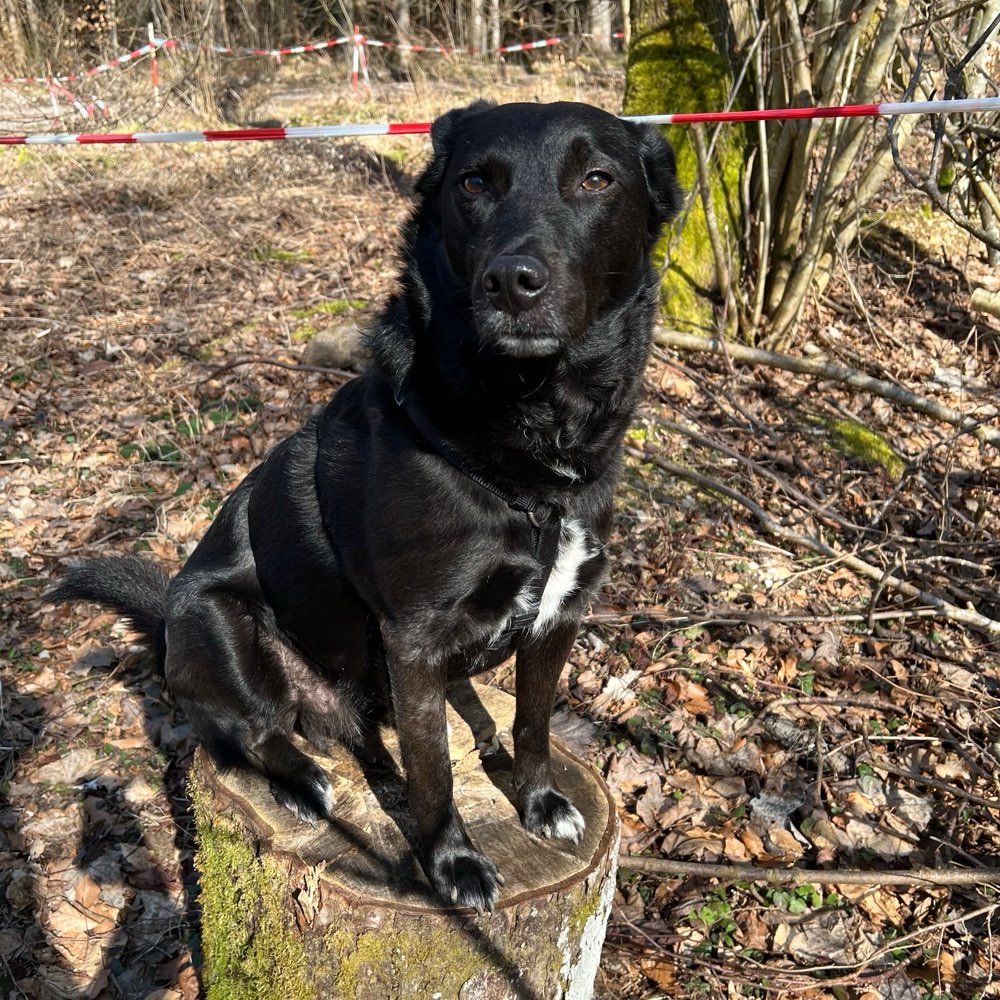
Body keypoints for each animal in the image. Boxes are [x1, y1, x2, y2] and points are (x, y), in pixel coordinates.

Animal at [52, 103, 680, 916]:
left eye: (597, 179)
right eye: (475, 183)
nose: (512, 282)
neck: (527, 446)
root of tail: (165, 617)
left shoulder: (559, 616)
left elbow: (533, 723)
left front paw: (539, 801)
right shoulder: (415, 639)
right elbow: (434, 770)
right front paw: (453, 864)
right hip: (217, 624)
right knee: (246, 734)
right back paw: (301, 780)